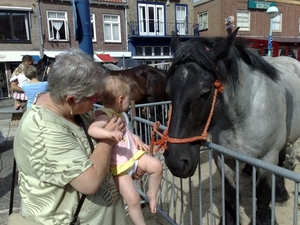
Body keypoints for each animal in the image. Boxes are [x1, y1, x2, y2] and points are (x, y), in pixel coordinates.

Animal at [164, 28, 300, 225]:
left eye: (205, 92)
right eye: (168, 91)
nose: (176, 161)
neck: (244, 114)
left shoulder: (267, 158)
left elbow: (263, 194)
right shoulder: (223, 158)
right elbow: (229, 194)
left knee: (282, 160)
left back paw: (281, 192)